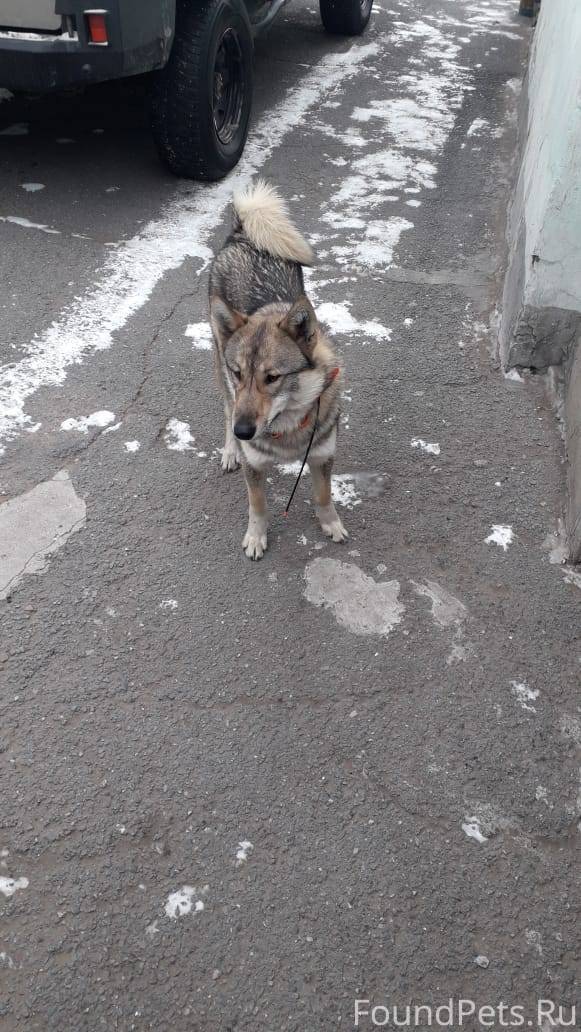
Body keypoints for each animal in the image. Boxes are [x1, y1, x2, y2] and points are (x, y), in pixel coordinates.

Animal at [209, 180, 347, 560]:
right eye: (240, 373)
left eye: (272, 378)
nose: (244, 432)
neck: (286, 432)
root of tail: (243, 235)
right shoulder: (255, 465)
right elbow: (258, 506)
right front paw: (256, 537)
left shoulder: (322, 456)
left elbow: (323, 496)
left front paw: (331, 524)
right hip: (218, 366)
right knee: (225, 409)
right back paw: (230, 450)